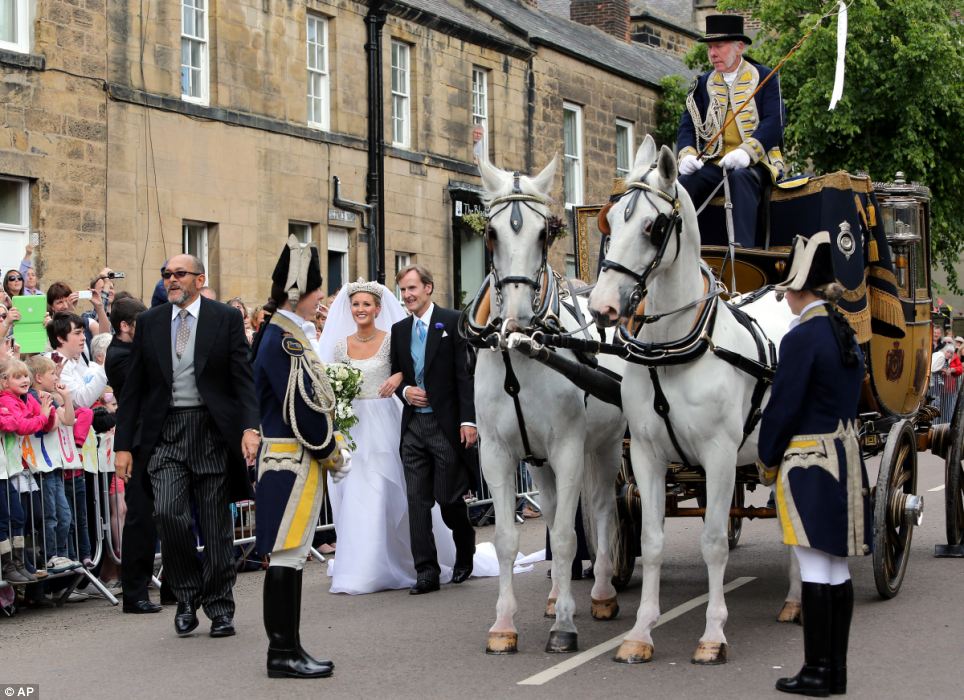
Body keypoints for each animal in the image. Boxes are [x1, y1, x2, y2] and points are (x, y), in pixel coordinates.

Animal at [472, 156, 624, 652]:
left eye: (544, 233)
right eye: (492, 233)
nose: (517, 319)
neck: (521, 355)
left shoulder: (570, 448)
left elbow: (567, 534)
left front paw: (565, 627)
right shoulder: (498, 453)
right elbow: (507, 537)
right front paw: (504, 624)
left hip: (605, 445)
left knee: (601, 509)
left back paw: (601, 593)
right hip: (537, 461)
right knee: (556, 507)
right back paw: (558, 596)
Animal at [588, 135, 792, 660]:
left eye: (653, 226)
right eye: (610, 221)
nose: (601, 307)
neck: (673, 348)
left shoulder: (719, 456)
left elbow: (714, 541)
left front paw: (713, 633)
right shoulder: (646, 454)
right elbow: (654, 538)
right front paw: (640, 632)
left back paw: (798, 601)